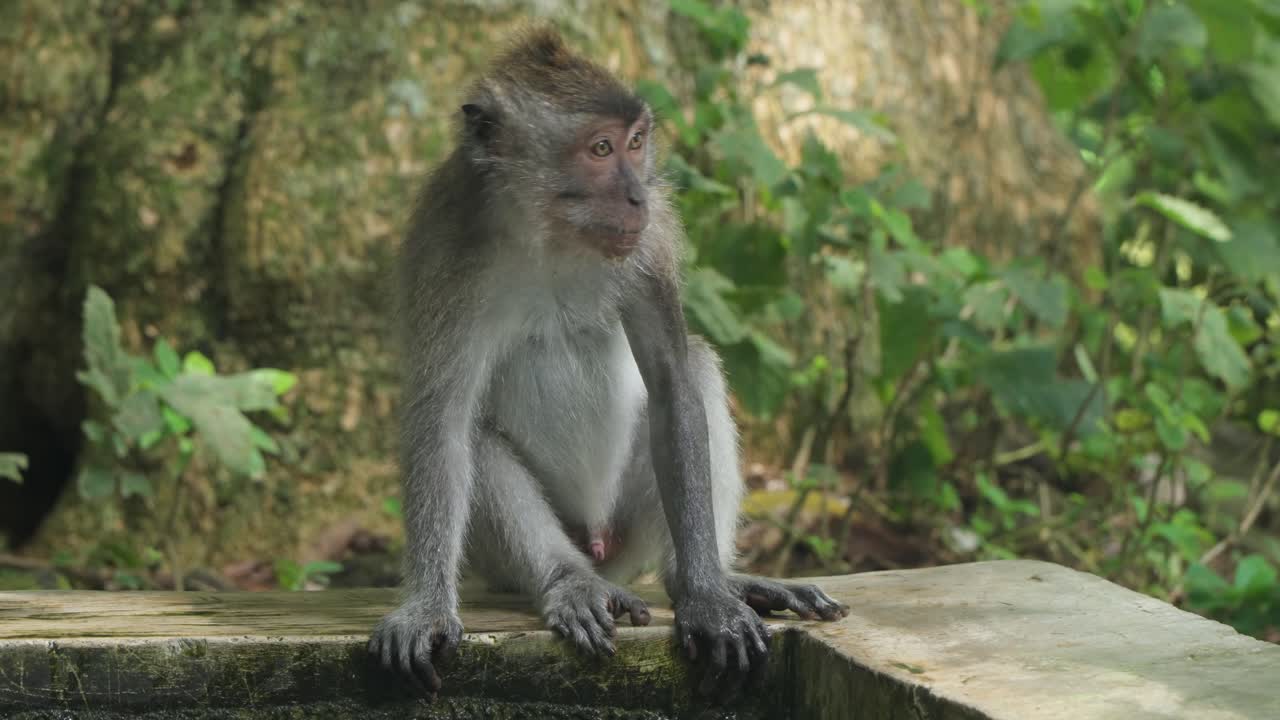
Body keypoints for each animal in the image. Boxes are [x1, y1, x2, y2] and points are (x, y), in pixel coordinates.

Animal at [368, 27, 849, 702]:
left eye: (636, 142)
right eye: (599, 149)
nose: (637, 194)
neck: (551, 234)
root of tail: (601, 548)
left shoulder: (653, 240)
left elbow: (673, 380)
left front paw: (707, 597)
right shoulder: (446, 248)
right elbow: (442, 416)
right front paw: (428, 610)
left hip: (631, 533)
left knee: (698, 368)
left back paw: (708, 579)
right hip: (508, 561)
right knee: (478, 442)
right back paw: (570, 583)